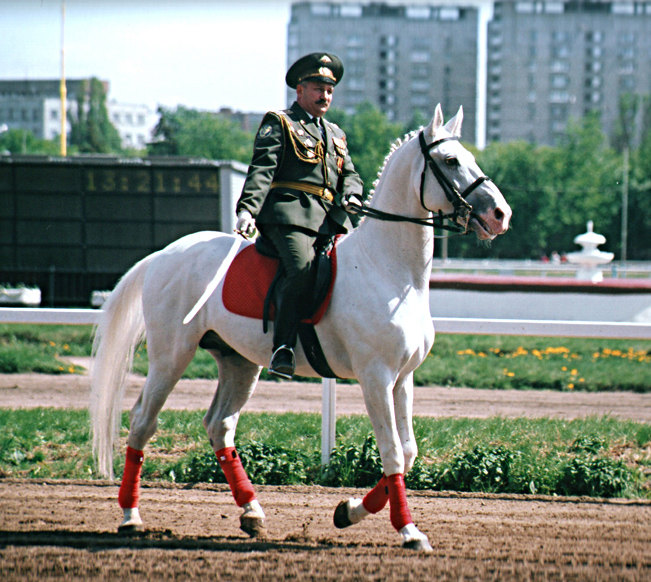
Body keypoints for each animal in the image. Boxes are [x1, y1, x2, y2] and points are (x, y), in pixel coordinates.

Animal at [90, 106, 510, 552]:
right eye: (451, 161)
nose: (501, 214)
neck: (388, 267)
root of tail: (164, 254)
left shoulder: (402, 378)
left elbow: (409, 452)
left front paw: (348, 512)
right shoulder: (375, 377)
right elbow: (393, 452)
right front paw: (409, 531)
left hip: (239, 362)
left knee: (220, 426)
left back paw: (252, 513)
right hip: (171, 356)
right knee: (142, 423)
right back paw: (131, 517)